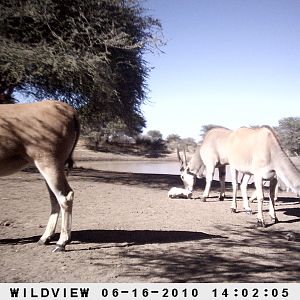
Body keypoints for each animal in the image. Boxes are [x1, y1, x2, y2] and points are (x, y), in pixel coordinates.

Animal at [0, 100, 79, 251]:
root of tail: (69, 110)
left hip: (48, 163)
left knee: (65, 196)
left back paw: (61, 242)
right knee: (55, 199)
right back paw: (45, 238)